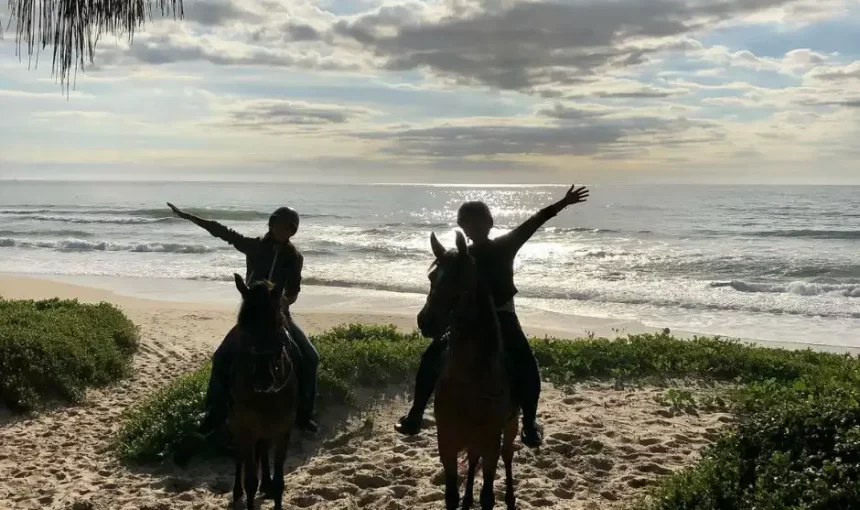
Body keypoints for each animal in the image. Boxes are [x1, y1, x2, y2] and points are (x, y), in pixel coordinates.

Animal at [228, 274, 298, 510]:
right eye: (243, 323)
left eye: (278, 322)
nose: (262, 379)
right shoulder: (247, 429)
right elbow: (250, 480)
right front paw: (247, 489)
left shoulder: (283, 431)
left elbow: (279, 481)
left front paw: (271, 487)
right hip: (238, 426)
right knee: (240, 457)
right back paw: (237, 491)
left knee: (264, 450)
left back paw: (265, 484)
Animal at [416, 232, 516, 510]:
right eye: (432, 277)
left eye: (459, 279)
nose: (426, 321)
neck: (470, 379)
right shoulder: (447, 441)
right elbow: (451, 495)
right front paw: (462, 498)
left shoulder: (491, 440)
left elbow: (488, 496)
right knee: (472, 460)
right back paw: (468, 497)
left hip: (511, 427)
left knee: (508, 456)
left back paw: (510, 497)